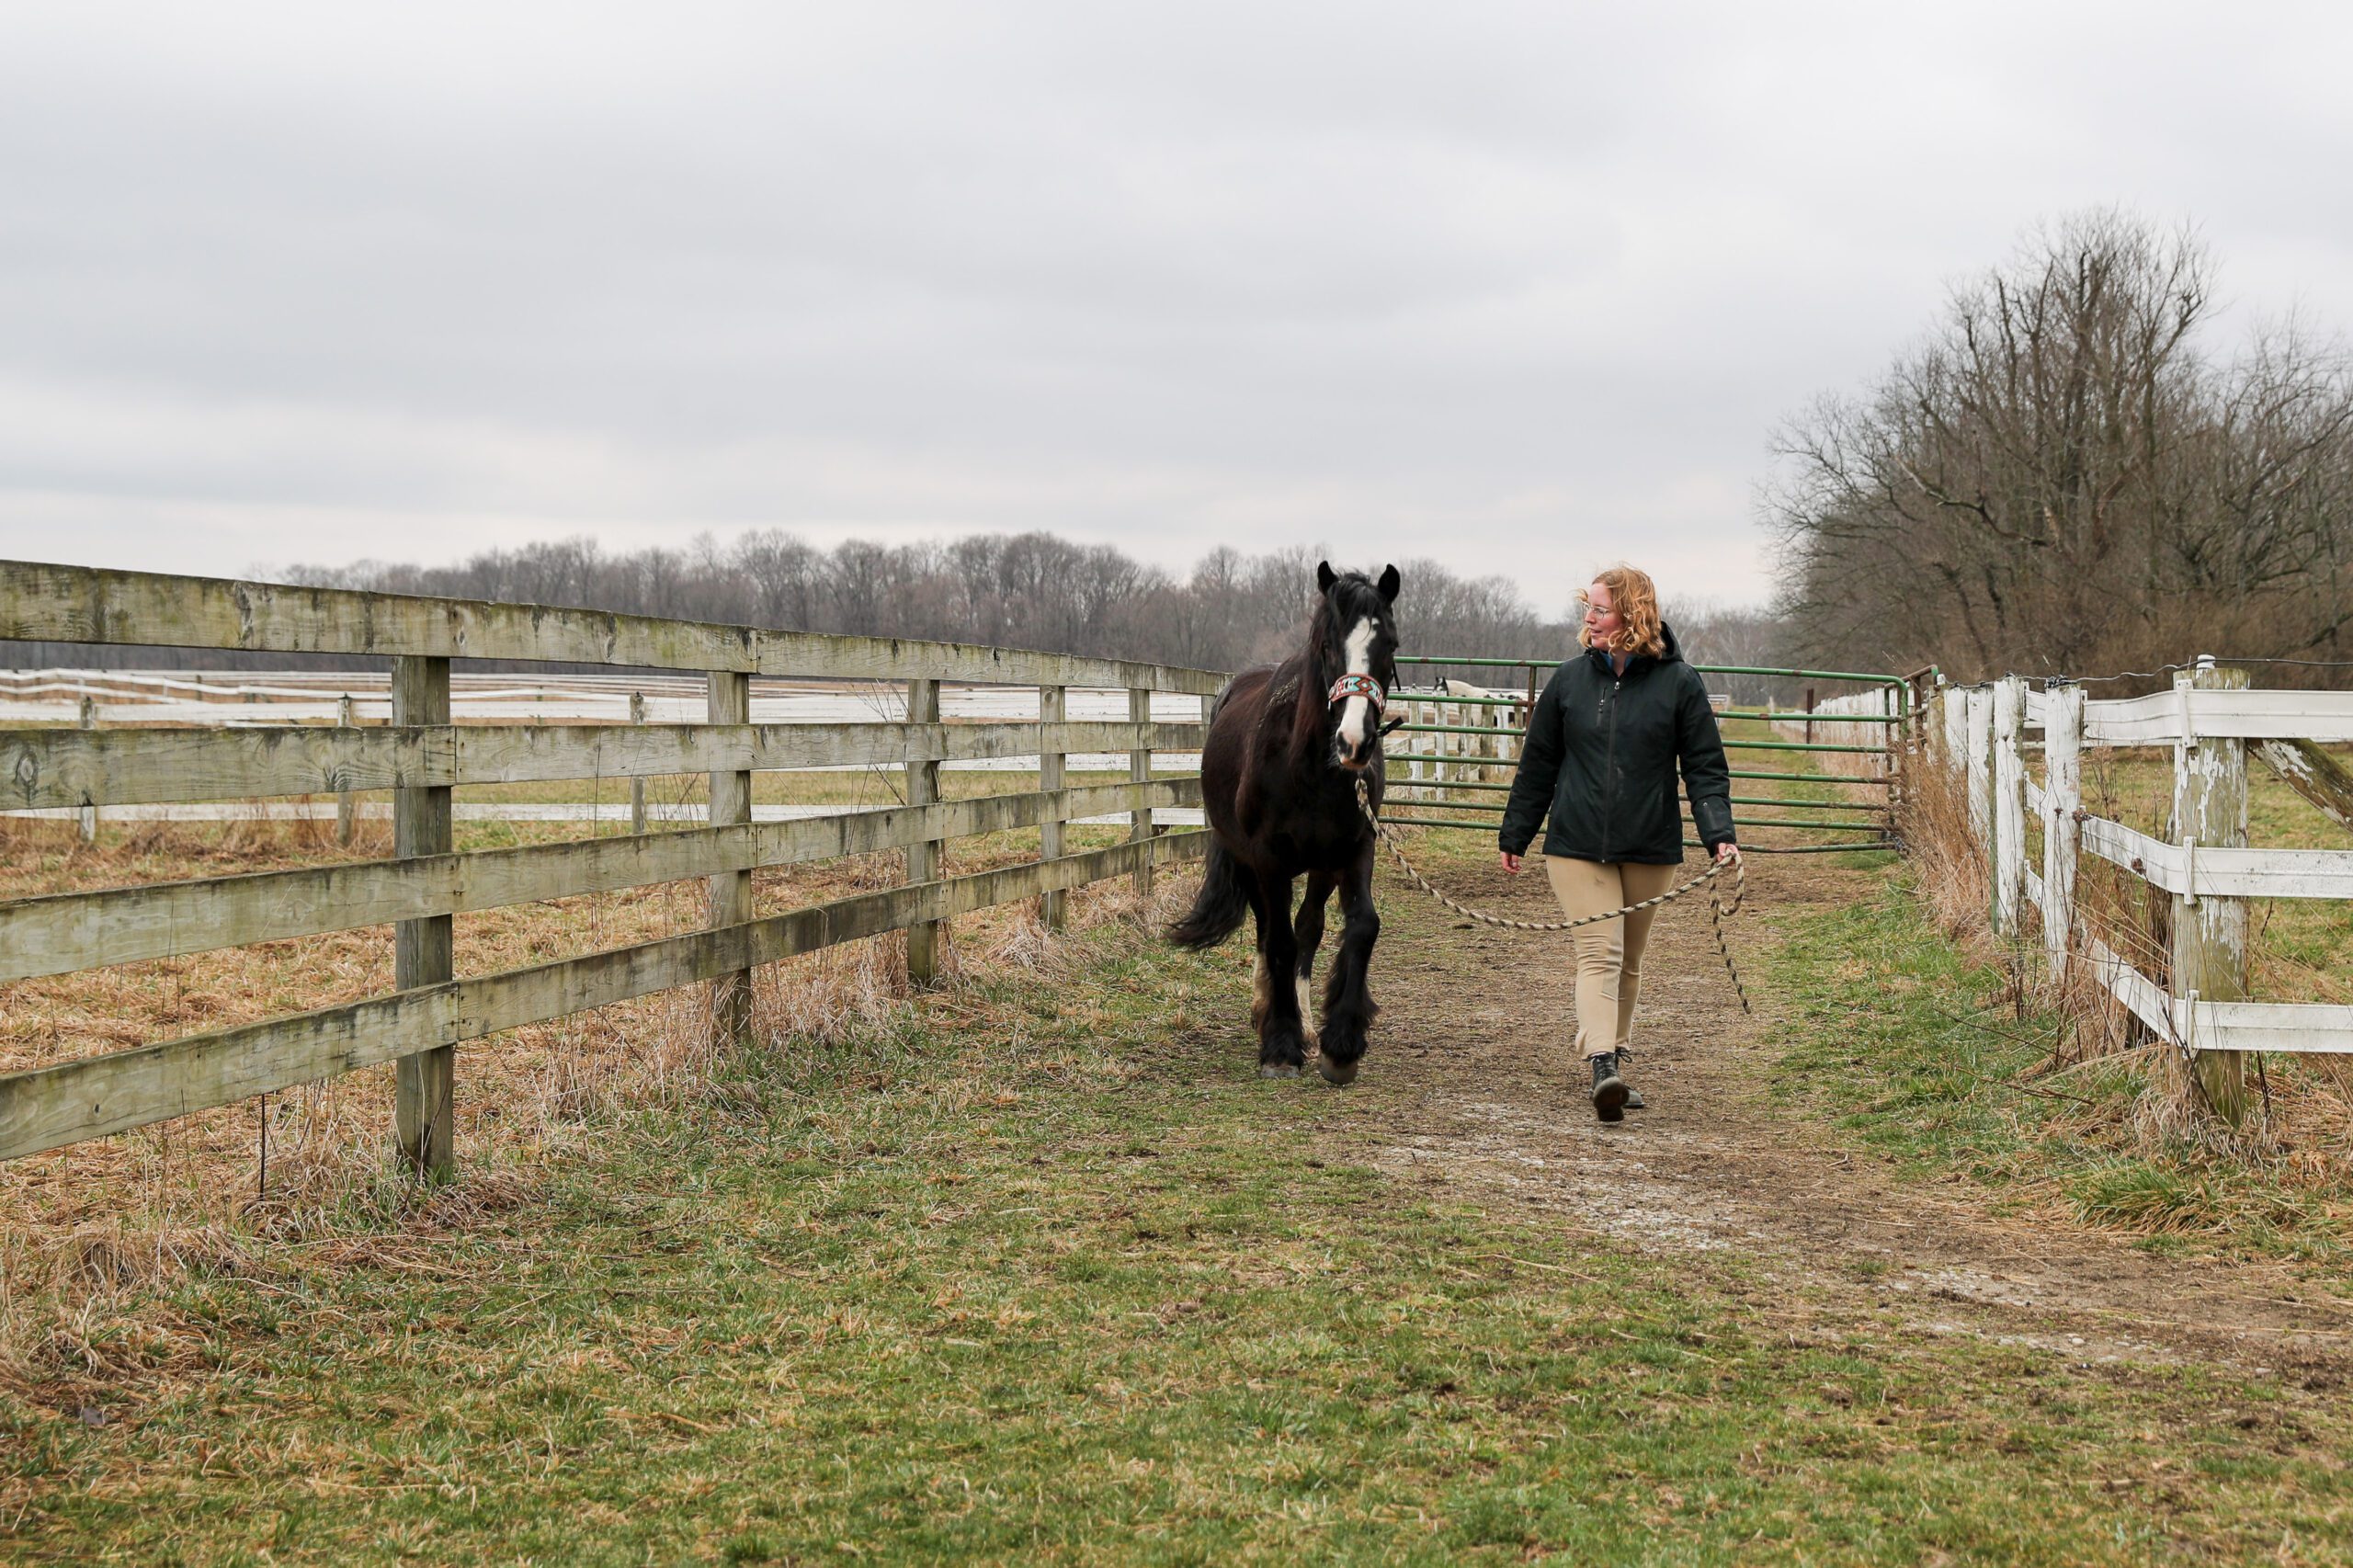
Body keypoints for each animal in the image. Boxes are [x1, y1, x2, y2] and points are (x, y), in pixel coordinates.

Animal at [1162, 555, 1383, 1083]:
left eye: (1389, 643)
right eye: (1327, 645)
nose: (1355, 741)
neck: (1313, 769)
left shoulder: (1353, 849)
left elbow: (1358, 926)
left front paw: (1340, 1043)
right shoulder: (1268, 859)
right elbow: (1278, 941)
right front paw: (1280, 1045)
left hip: (1320, 867)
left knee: (1308, 928)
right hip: (1246, 860)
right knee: (1268, 931)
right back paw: (1269, 1012)